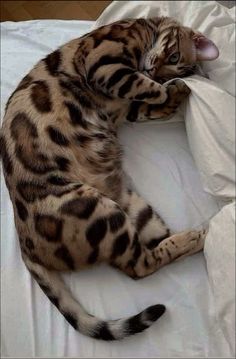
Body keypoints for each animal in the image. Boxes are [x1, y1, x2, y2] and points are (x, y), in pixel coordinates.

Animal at [0, 16, 218, 342]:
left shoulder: (130, 106)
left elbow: (152, 101)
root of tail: (25, 244)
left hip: (130, 209)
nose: (156, 72)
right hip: (99, 212)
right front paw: (168, 89)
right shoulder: (105, 64)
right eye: (174, 58)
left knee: (152, 250)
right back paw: (198, 235)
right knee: (139, 267)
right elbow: (150, 89)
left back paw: (202, 234)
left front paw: (178, 91)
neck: (147, 30)